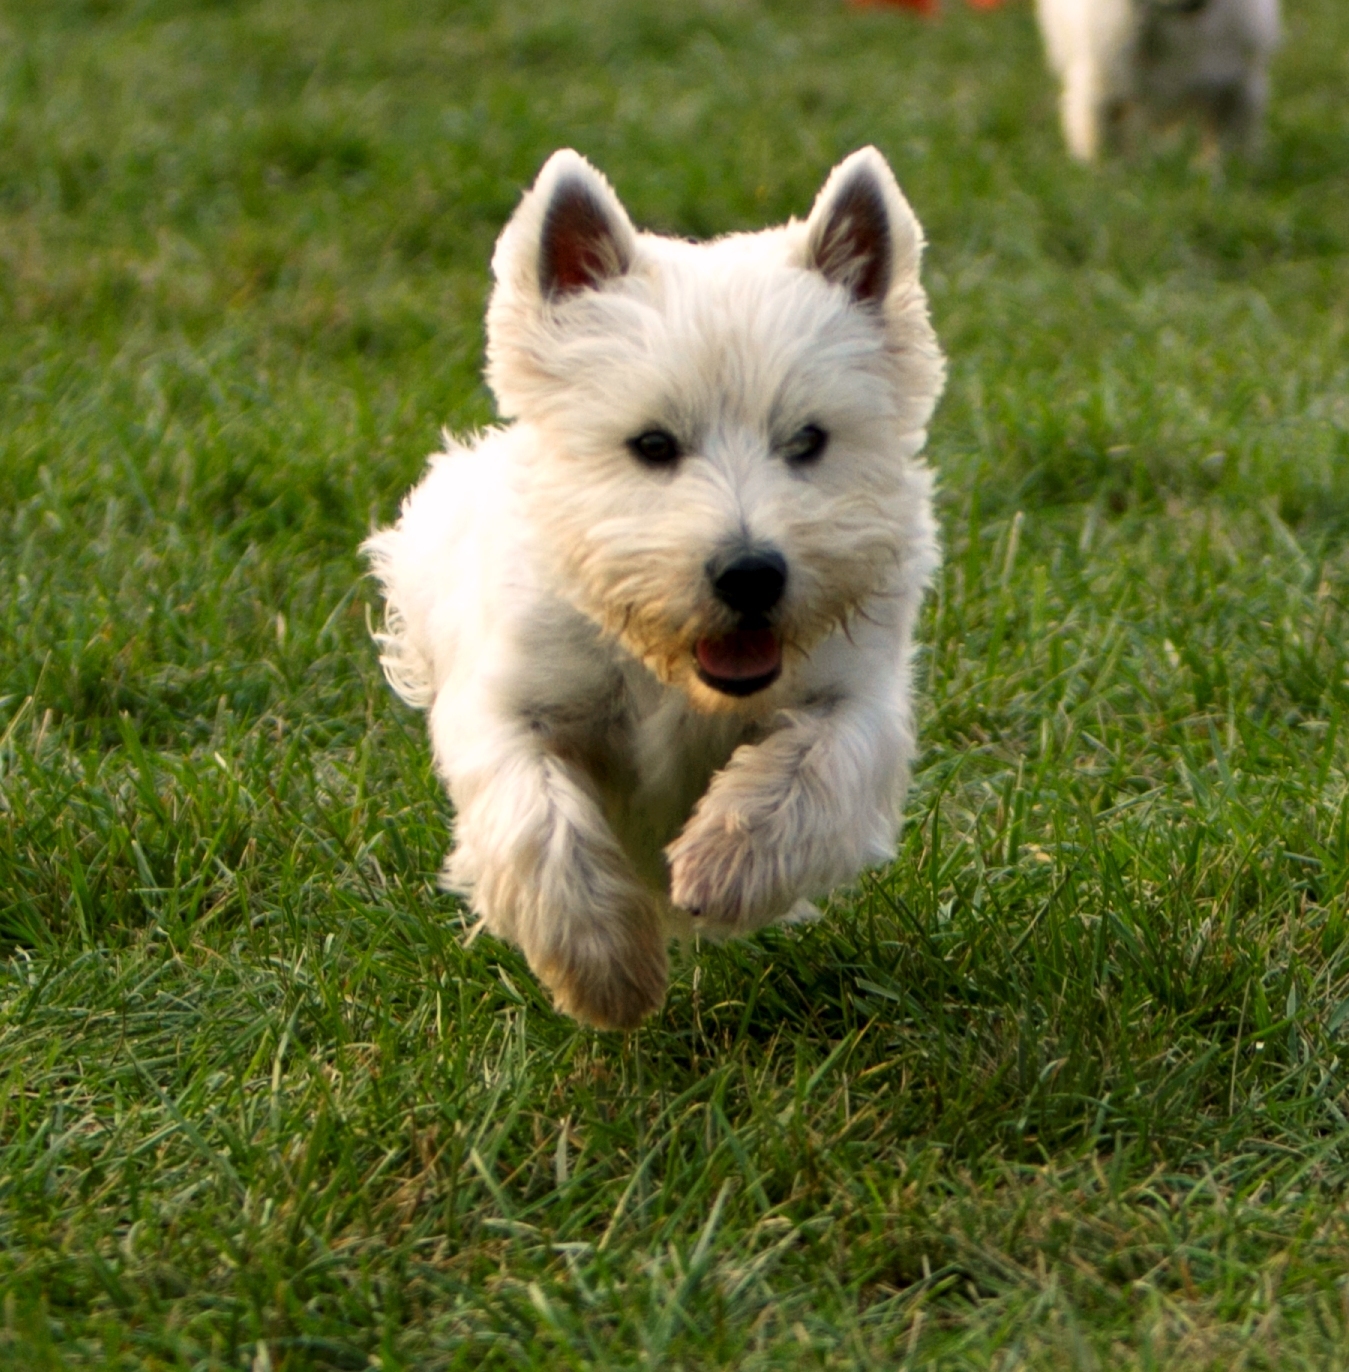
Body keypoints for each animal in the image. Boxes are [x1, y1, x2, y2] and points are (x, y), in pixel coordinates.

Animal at [365, 150, 944, 1031]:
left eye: (808, 440)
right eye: (651, 444)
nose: (750, 573)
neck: (667, 669)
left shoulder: (859, 693)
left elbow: (812, 769)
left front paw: (725, 865)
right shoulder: (507, 703)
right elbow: (538, 821)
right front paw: (604, 971)